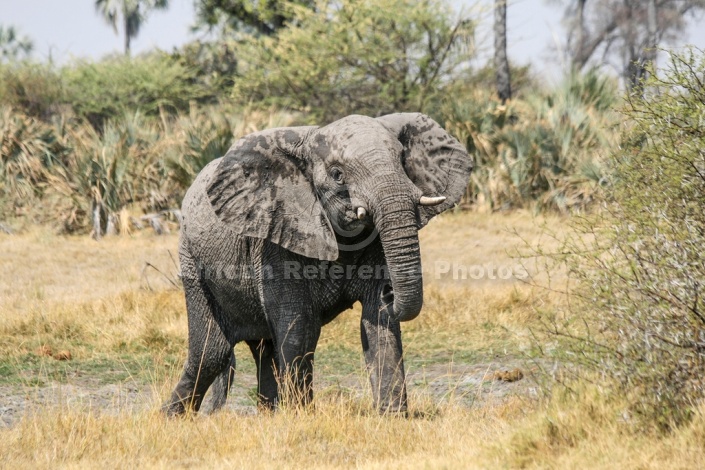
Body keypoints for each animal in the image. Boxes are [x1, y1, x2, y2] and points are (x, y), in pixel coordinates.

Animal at [164, 113, 472, 414]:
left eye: (402, 160)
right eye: (337, 175)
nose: (391, 291)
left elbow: (378, 320)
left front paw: (392, 417)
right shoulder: (276, 237)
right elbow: (300, 324)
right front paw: (301, 416)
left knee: (263, 349)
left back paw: (267, 415)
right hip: (192, 259)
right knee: (211, 353)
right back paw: (171, 418)